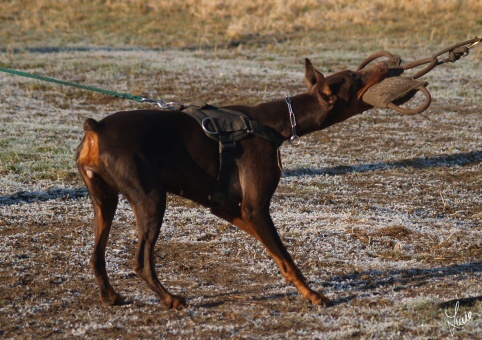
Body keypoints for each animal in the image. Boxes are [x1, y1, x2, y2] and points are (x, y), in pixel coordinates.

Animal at [77, 58, 390, 308]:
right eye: (355, 77)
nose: (388, 65)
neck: (274, 122)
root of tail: (96, 128)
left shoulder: (228, 208)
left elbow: (278, 255)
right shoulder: (255, 208)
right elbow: (286, 257)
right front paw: (313, 295)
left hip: (104, 200)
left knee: (96, 256)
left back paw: (111, 296)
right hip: (151, 199)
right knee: (141, 261)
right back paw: (170, 299)